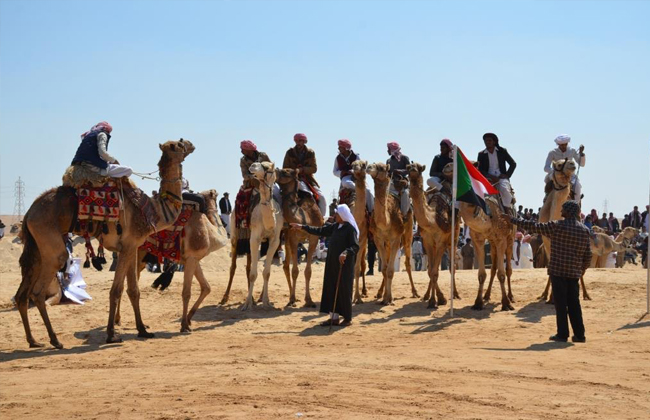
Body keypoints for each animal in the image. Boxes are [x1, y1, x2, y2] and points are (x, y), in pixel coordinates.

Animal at [15, 139, 192, 348]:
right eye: (179, 144)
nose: (190, 144)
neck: (154, 211)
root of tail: (28, 213)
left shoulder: (131, 248)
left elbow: (133, 290)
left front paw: (142, 330)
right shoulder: (128, 245)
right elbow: (116, 290)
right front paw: (111, 335)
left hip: (36, 247)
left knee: (22, 294)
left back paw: (33, 341)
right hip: (50, 243)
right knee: (39, 291)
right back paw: (55, 340)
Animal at [276, 167, 322, 308]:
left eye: (285, 171)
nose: (274, 170)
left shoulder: (314, 239)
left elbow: (308, 271)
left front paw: (309, 300)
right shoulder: (293, 239)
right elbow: (295, 271)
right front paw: (292, 298)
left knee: (286, 265)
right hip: (286, 239)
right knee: (286, 266)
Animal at [362, 162, 418, 304]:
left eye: (381, 168)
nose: (369, 167)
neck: (385, 222)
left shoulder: (396, 239)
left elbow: (391, 270)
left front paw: (390, 298)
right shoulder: (378, 239)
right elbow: (384, 269)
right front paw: (385, 297)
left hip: (408, 234)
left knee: (408, 263)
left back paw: (415, 292)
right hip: (386, 243)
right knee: (386, 264)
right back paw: (380, 293)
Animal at [408, 163, 458, 308]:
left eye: (419, 168)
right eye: (408, 167)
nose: (412, 169)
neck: (433, 219)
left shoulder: (441, 242)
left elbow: (435, 272)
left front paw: (439, 299)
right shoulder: (427, 242)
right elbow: (430, 271)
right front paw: (433, 299)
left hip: (454, 237)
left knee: (452, 266)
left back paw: (455, 294)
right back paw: (426, 296)